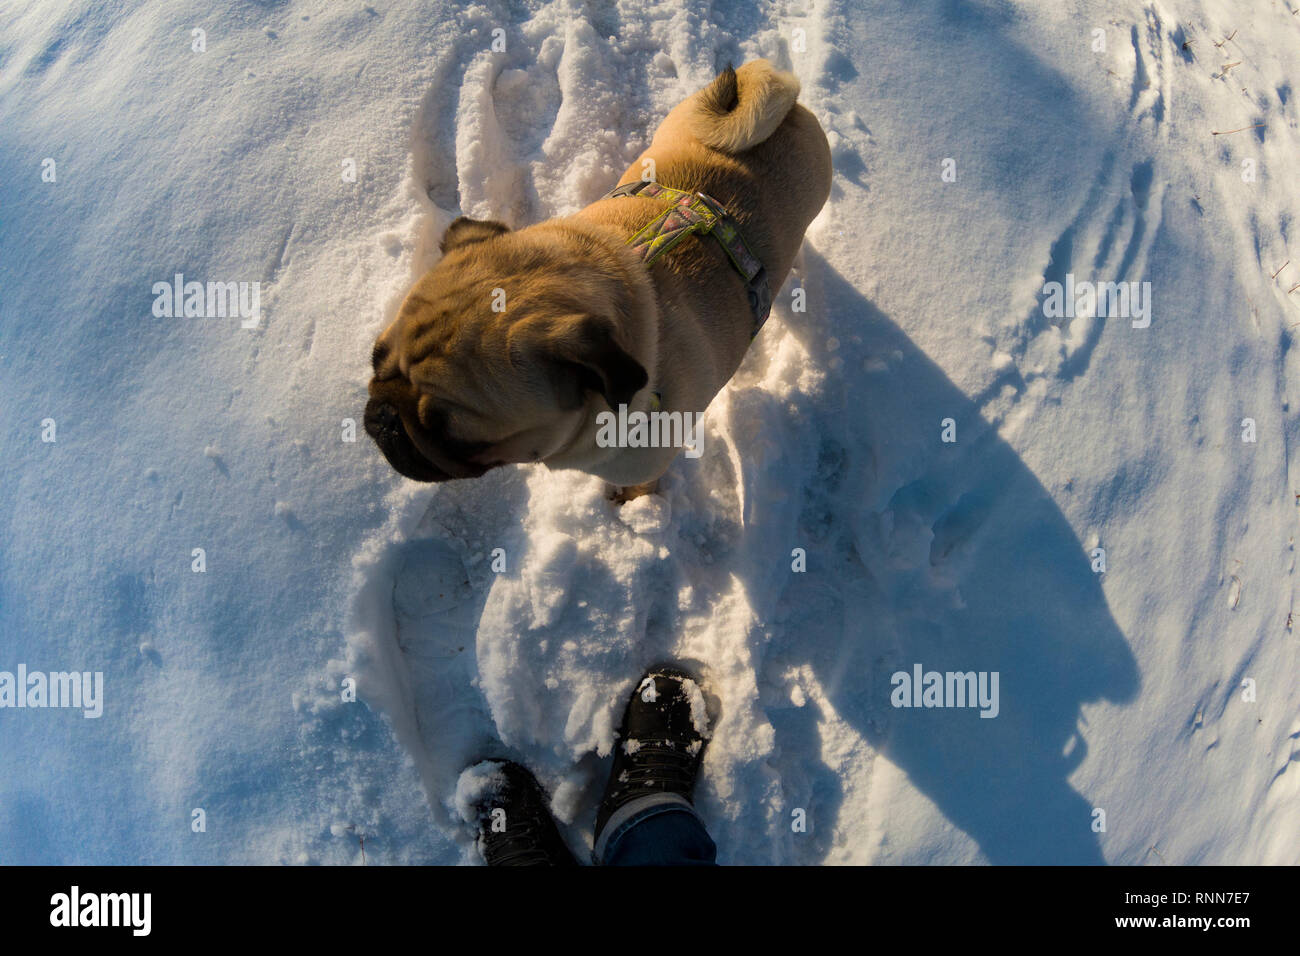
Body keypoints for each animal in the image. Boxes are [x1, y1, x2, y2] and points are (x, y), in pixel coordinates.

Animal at [366, 57, 832, 502]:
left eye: (449, 434)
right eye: (375, 359)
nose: (383, 418)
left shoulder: (644, 465)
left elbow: (638, 487)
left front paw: (632, 506)